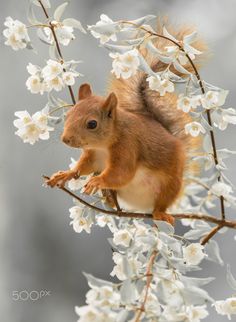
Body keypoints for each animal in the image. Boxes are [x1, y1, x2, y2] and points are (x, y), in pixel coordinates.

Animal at [46, 25, 205, 225]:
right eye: (68, 115)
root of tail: (140, 207)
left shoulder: (128, 146)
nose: (65, 139)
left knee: (161, 203)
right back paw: (108, 198)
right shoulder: (92, 155)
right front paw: (65, 174)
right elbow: (83, 167)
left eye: (92, 124)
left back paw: (160, 214)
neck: (103, 146)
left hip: (170, 185)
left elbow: (122, 173)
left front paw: (97, 181)